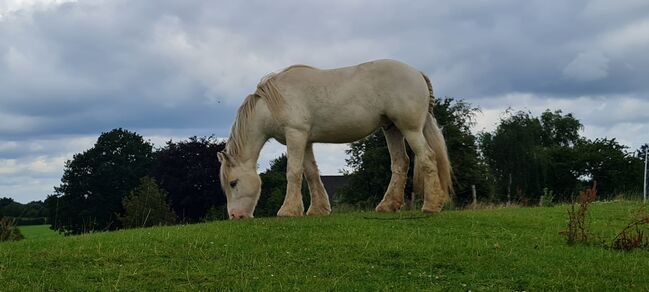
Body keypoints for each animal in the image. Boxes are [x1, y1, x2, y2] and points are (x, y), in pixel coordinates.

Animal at [218, 59, 450, 219]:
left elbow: (293, 172)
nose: (235, 216)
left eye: (233, 183)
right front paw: (318, 209)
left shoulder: (295, 135)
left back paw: (431, 205)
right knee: (401, 163)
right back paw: (388, 206)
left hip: (410, 129)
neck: (271, 104)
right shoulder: (305, 141)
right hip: (391, 129)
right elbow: (311, 173)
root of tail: (417, 73)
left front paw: (288, 210)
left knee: (427, 158)